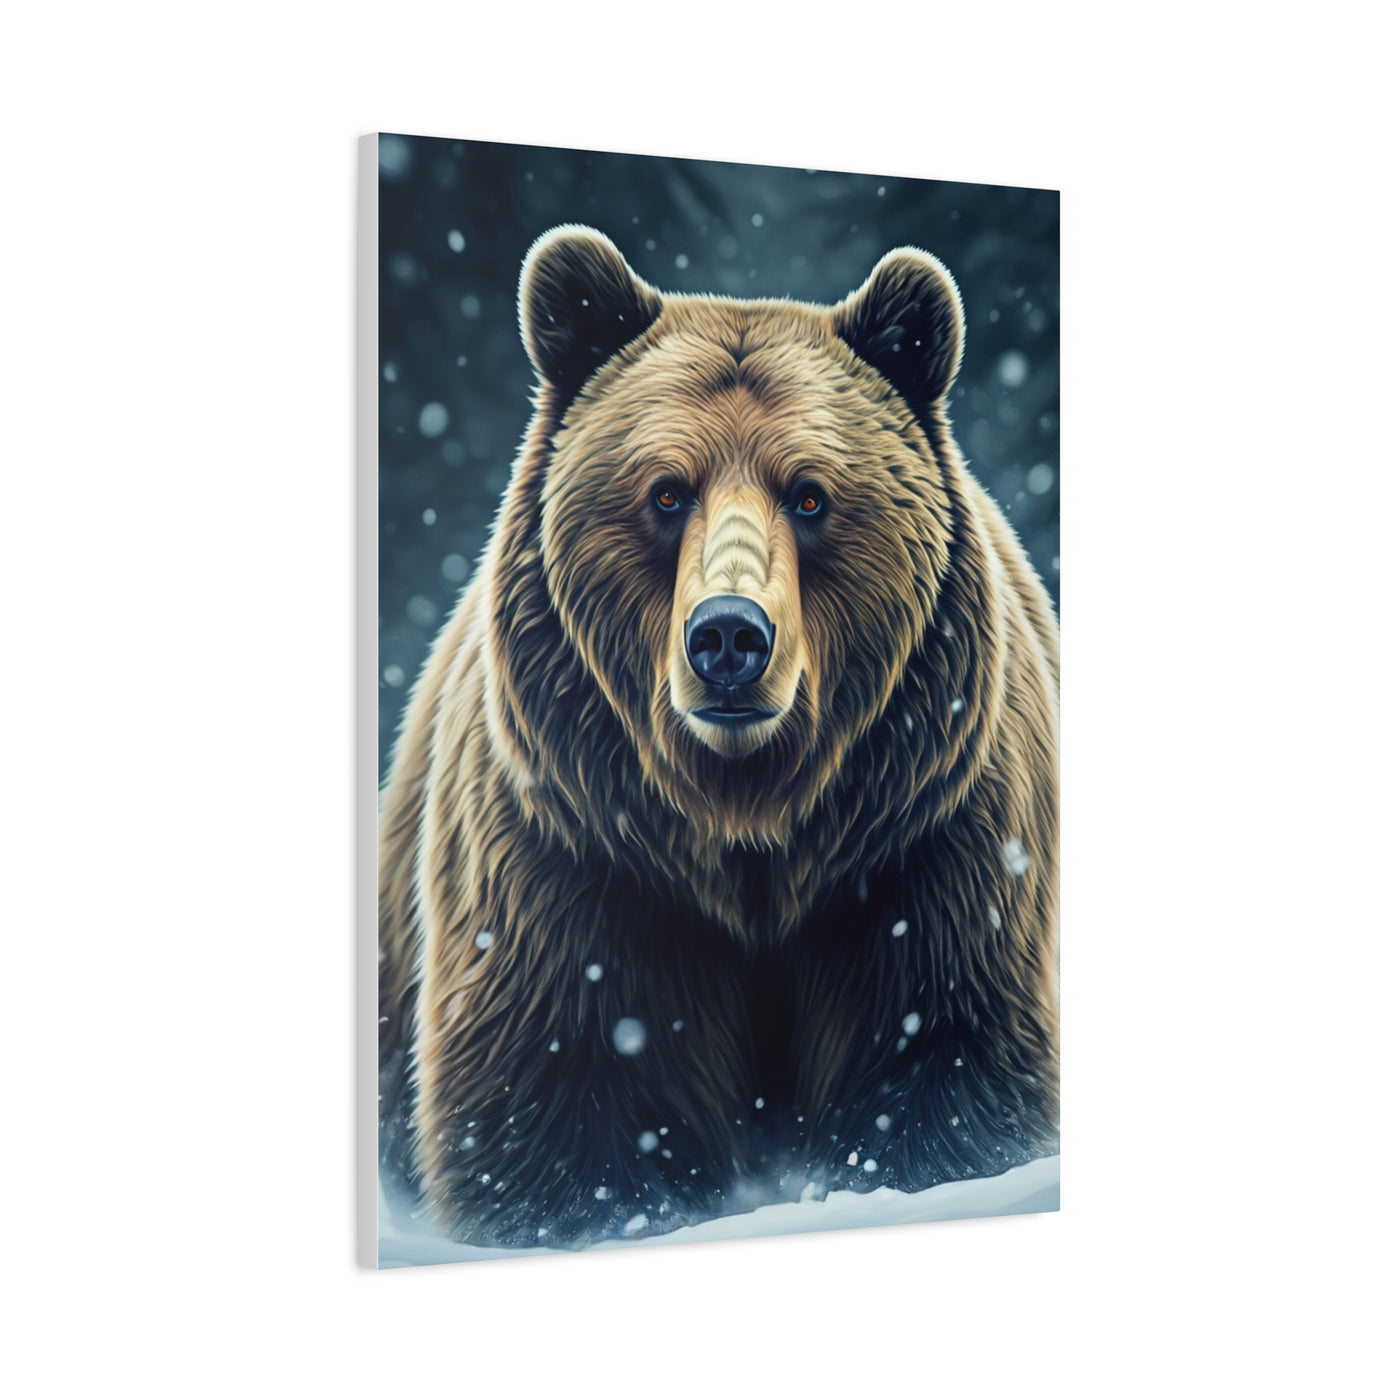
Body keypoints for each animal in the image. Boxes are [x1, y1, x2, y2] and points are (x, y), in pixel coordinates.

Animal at [378, 225, 1059, 1248]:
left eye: (811, 495)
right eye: (666, 492)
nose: (730, 635)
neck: (748, 828)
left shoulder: (929, 849)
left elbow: (948, 1066)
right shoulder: (577, 860)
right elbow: (563, 1105)